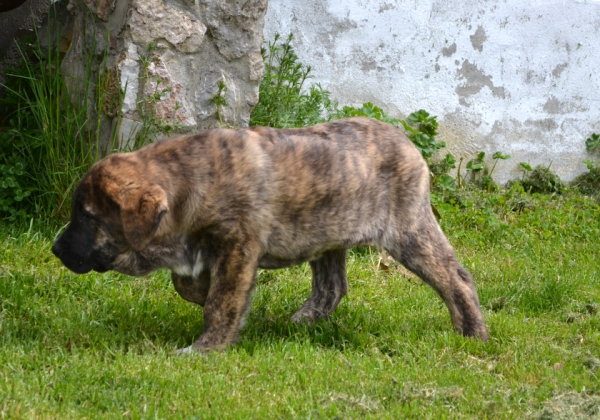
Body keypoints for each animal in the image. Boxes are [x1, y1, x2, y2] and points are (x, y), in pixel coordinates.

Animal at [52, 117, 488, 352]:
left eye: (87, 217)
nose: (55, 249)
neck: (186, 183)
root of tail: (408, 143)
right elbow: (189, 284)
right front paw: (208, 293)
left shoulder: (238, 244)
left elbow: (222, 301)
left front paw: (207, 348)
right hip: (327, 231)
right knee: (333, 286)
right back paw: (302, 321)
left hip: (409, 231)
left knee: (457, 279)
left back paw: (473, 334)